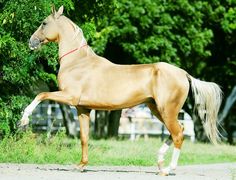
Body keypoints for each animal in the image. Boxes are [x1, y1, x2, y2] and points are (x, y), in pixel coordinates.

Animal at [19, 5, 222, 176]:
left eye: (44, 23)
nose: (31, 42)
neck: (78, 62)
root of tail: (183, 74)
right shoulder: (83, 108)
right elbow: (84, 137)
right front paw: (81, 165)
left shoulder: (69, 97)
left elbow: (41, 94)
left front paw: (24, 120)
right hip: (157, 109)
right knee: (177, 131)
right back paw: (160, 163)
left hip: (167, 110)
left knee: (178, 134)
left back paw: (168, 169)